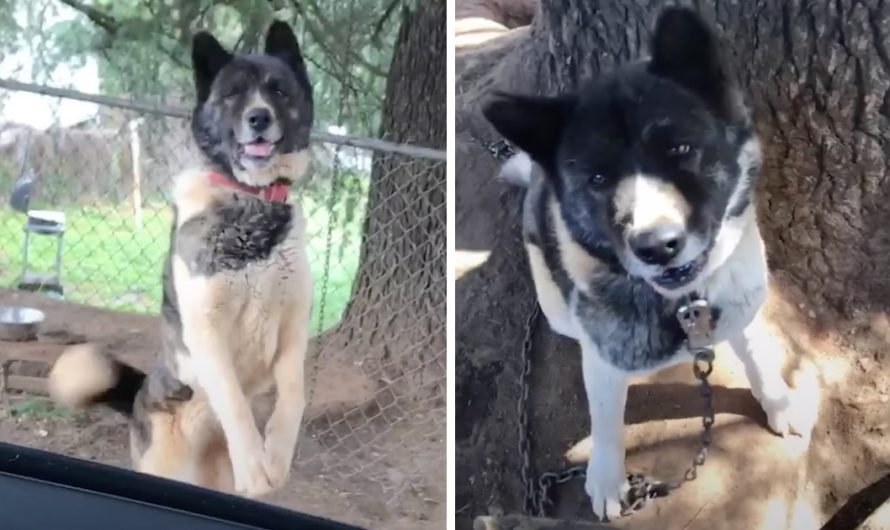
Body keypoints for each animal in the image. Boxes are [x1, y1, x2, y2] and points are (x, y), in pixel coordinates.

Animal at [48, 20, 314, 498]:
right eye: (233, 93)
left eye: (278, 90)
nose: (258, 118)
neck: (250, 204)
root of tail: (142, 394)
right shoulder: (206, 329)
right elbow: (234, 400)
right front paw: (254, 466)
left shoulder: (292, 328)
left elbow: (293, 396)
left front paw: (276, 458)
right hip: (165, 465)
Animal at [478, 7, 812, 520]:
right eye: (597, 178)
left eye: (680, 150)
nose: (656, 247)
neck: (685, 304)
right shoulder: (602, 361)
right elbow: (605, 421)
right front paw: (606, 479)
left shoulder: (742, 307)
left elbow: (758, 357)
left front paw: (777, 402)